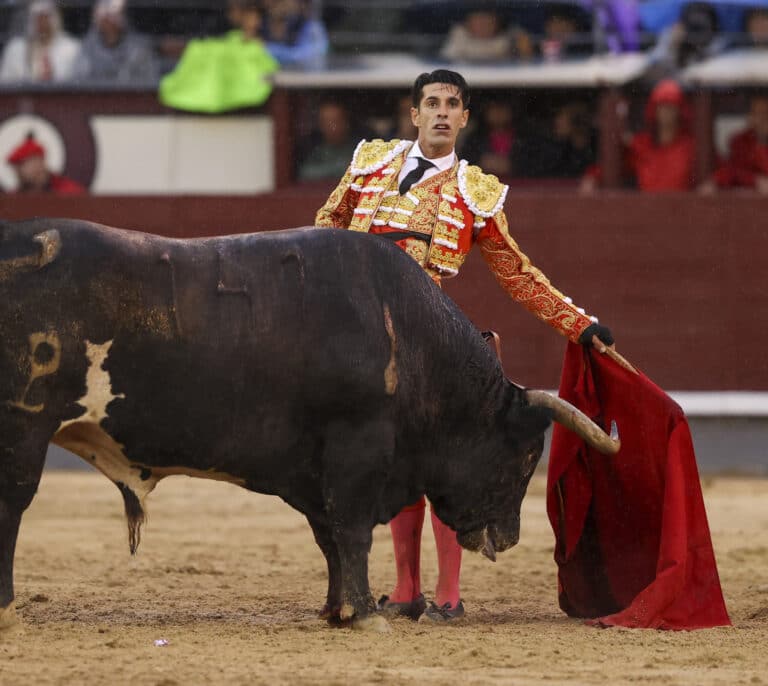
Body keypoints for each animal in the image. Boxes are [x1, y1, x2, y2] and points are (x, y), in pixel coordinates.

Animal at [0, 222, 616, 636]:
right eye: (527, 455)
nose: (508, 537)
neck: (409, 337)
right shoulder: (358, 449)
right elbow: (352, 531)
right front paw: (366, 615)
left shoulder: (315, 467)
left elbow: (329, 538)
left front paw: (336, 610)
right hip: (23, 427)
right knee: (13, 506)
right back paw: (7, 611)